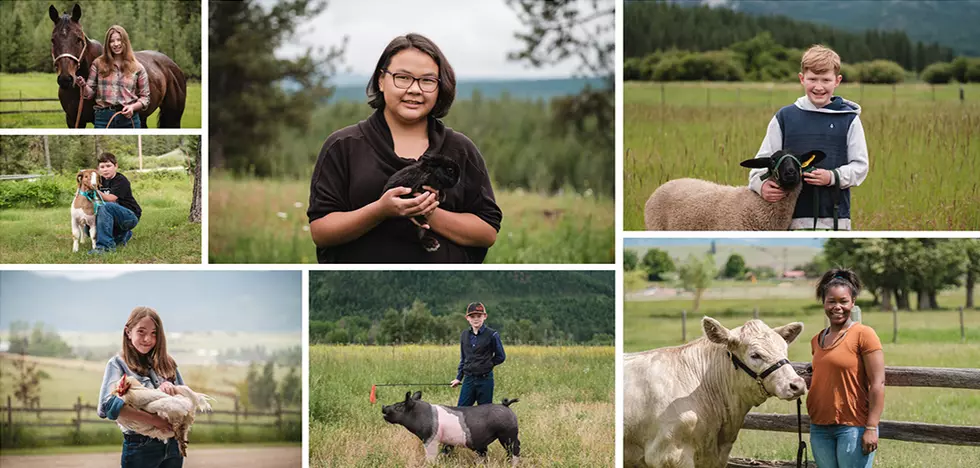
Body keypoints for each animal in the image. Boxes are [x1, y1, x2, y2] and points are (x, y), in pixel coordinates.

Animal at [49, 4, 188, 128]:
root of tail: (173, 66)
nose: (65, 79)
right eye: (53, 40)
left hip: (173, 117)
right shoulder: (74, 121)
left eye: (78, 39)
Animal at [380, 392, 520, 464]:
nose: (383, 406)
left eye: (399, 406)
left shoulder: (430, 439)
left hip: (508, 434)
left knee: (515, 450)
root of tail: (506, 406)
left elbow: (431, 456)